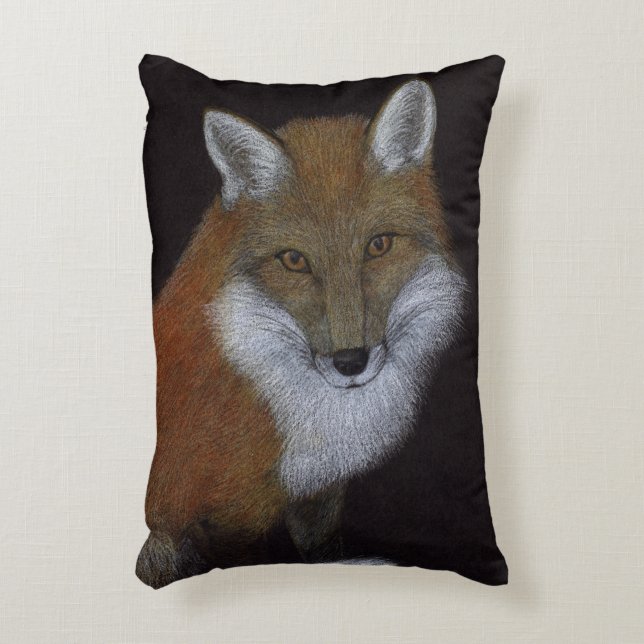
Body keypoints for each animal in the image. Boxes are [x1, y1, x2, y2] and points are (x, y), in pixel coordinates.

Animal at [137, 79, 467, 588]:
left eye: (378, 245)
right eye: (294, 260)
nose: (350, 362)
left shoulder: (317, 494)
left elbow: (319, 550)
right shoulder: (211, 512)